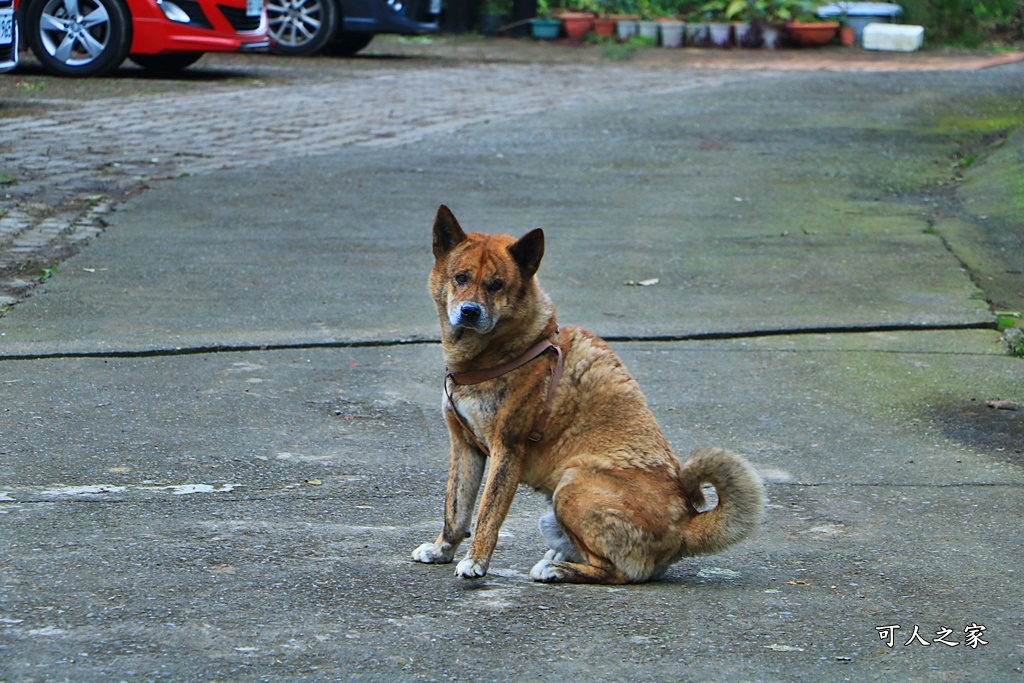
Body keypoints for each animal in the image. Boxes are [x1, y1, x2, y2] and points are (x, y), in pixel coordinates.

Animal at [411, 205, 765, 585]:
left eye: (496, 285)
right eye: (460, 278)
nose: (470, 312)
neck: (506, 350)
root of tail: (685, 526)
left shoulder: (508, 450)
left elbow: (487, 515)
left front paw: (475, 561)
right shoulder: (464, 447)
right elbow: (456, 511)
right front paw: (442, 550)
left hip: (572, 488)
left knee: (617, 572)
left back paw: (557, 569)